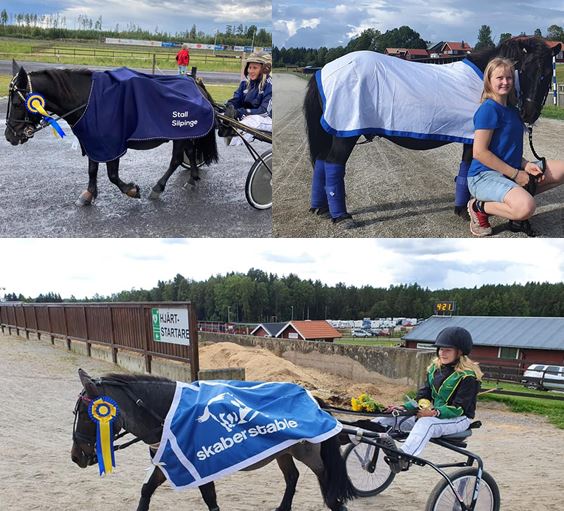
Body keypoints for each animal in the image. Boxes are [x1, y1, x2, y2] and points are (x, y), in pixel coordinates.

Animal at [5, 63, 219, 207]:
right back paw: (192, 179)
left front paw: (131, 190)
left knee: (176, 159)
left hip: (179, 133)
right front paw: (89, 194)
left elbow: (112, 175)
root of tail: (196, 85)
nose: (9, 136)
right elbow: (92, 170)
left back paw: (159, 187)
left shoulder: (111, 143)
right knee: (190, 153)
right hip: (186, 133)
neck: (89, 98)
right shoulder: (92, 140)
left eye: (16, 103)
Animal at [69, 370, 352, 511]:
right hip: (282, 452)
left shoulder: (199, 465)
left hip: (310, 454)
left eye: (85, 413)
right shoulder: (168, 462)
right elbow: (146, 490)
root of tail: (315, 401)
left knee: (328, 485)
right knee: (292, 478)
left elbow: (210, 500)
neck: (170, 413)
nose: (76, 456)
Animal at [304, 36, 560, 228]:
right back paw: (341, 217)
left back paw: (322, 209)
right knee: (333, 164)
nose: (528, 113)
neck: (484, 80)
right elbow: (466, 171)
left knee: (321, 163)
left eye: (547, 73)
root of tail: (325, 71)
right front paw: (463, 211)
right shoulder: (473, 139)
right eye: (523, 69)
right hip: (345, 134)